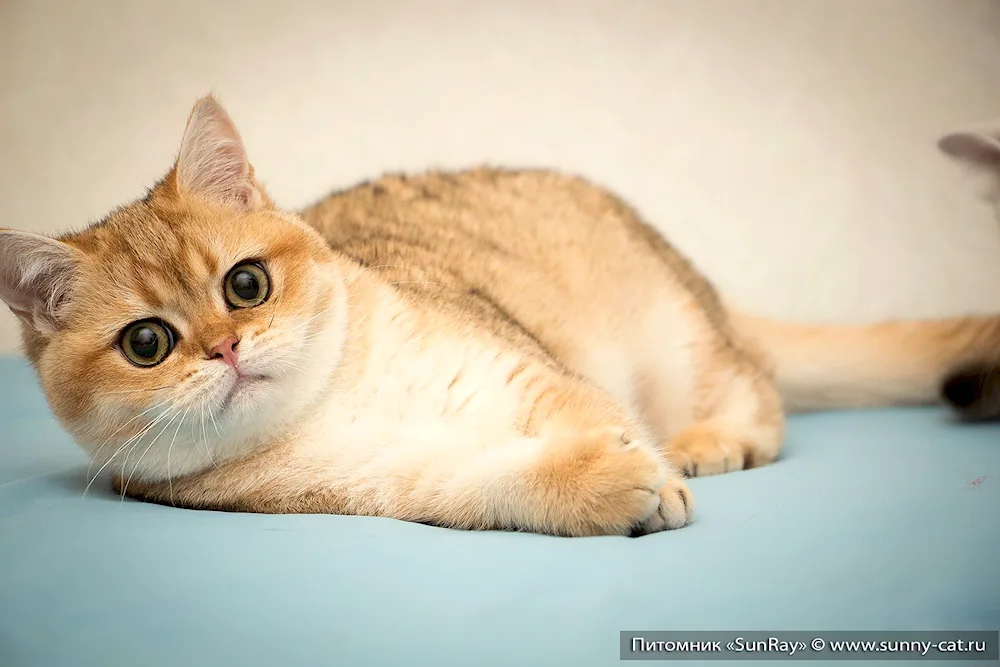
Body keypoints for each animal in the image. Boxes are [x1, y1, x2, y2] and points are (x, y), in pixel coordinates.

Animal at [1, 96, 1000, 540]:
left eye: (246, 285)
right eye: (147, 342)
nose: (227, 347)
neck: (333, 404)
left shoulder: (528, 371)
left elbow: (590, 410)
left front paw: (651, 471)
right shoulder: (395, 484)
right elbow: (493, 482)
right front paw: (605, 487)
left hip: (680, 334)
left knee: (761, 396)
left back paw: (708, 439)